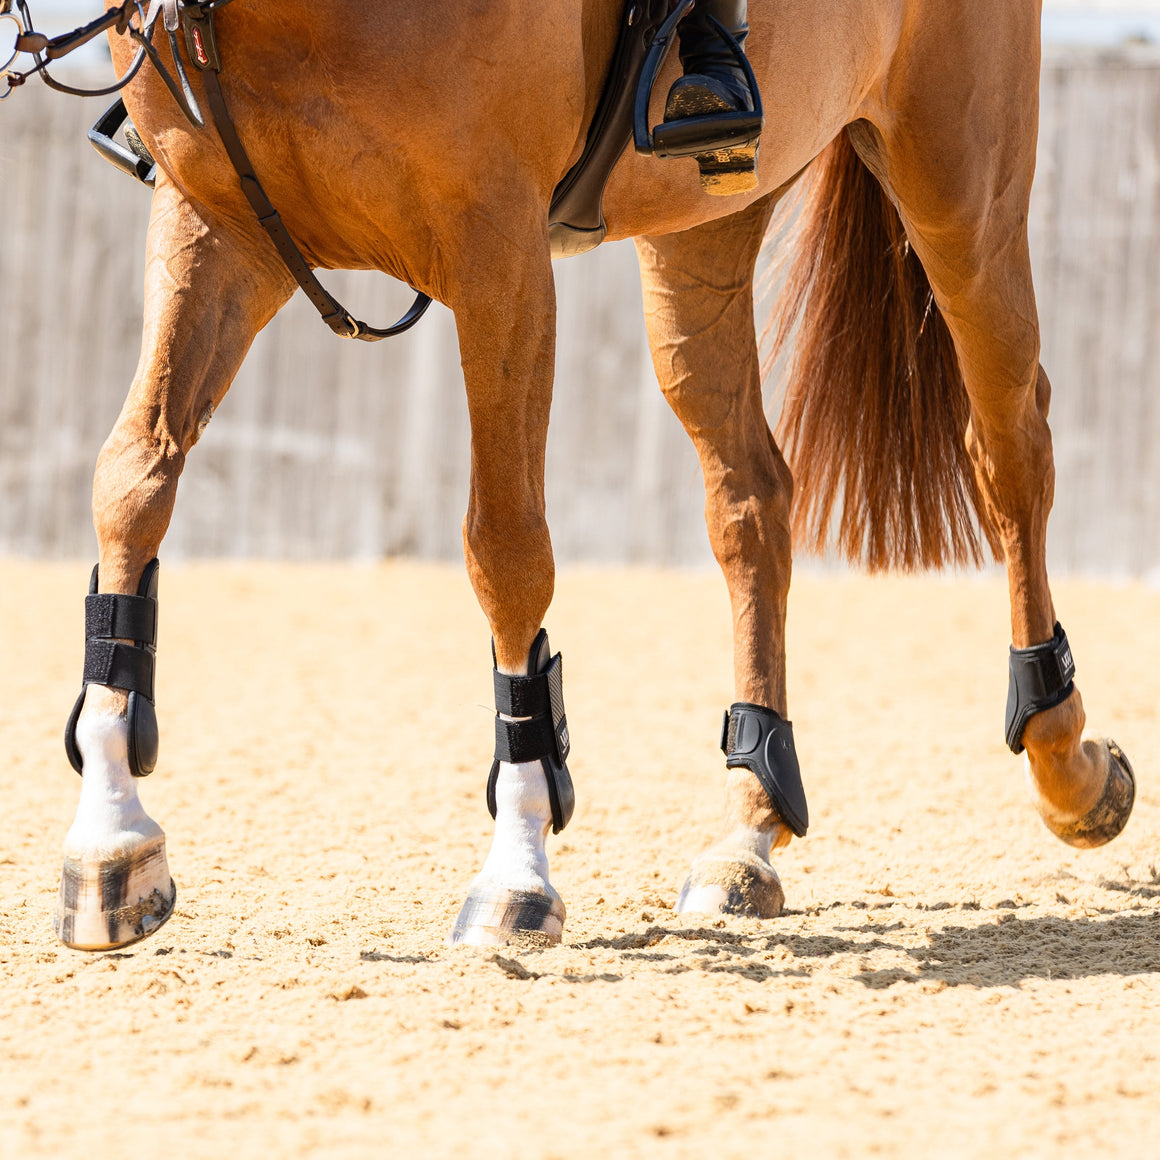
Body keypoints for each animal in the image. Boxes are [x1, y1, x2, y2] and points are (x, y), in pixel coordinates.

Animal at [48, 0, 1136, 950]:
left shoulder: (498, 255)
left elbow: (505, 551)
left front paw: (516, 870)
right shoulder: (216, 225)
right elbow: (131, 478)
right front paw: (111, 845)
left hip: (959, 188)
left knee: (1007, 450)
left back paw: (1071, 767)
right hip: (702, 226)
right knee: (750, 496)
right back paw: (749, 829)